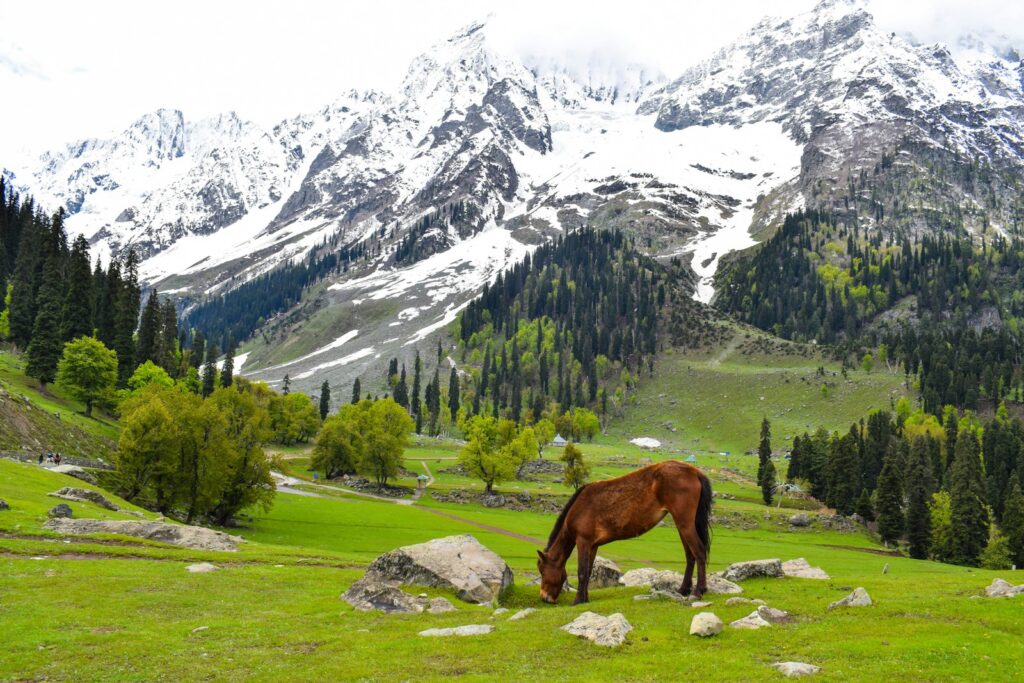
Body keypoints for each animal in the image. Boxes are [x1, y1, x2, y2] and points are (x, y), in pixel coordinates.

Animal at [536, 460, 712, 605]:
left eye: (543, 571)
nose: (544, 597)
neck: (580, 507)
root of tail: (694, 472)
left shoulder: (583, 542)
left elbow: (581, 571)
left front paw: (578, 600)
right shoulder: (593, 545)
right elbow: (588, 571)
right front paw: (585, 598)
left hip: (684, 524)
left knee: (699, 552)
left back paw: (698, 591)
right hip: (682, 525)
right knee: (690, 555)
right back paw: (683, 589)